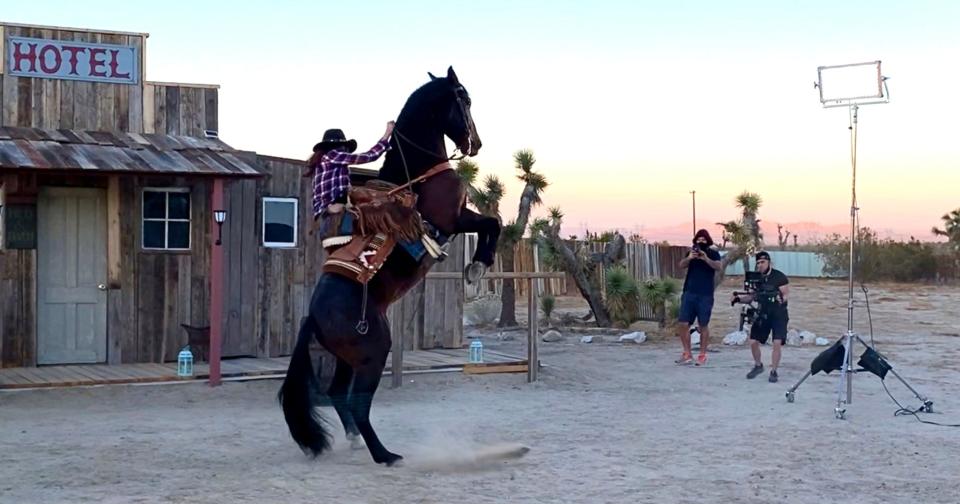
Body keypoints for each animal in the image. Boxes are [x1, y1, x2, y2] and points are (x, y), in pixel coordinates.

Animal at [280, 66, 498, 464]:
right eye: (465, 98)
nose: (475, 143)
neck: (419, 175)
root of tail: (313, 318)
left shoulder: (459, 218)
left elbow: (492, 222)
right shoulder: (453, 219)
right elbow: (494, 223)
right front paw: (478, 266)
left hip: (348, 359)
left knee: (339, 394)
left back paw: (355, 440)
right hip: (374, 353)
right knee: (357, 402)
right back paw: (384, 454)